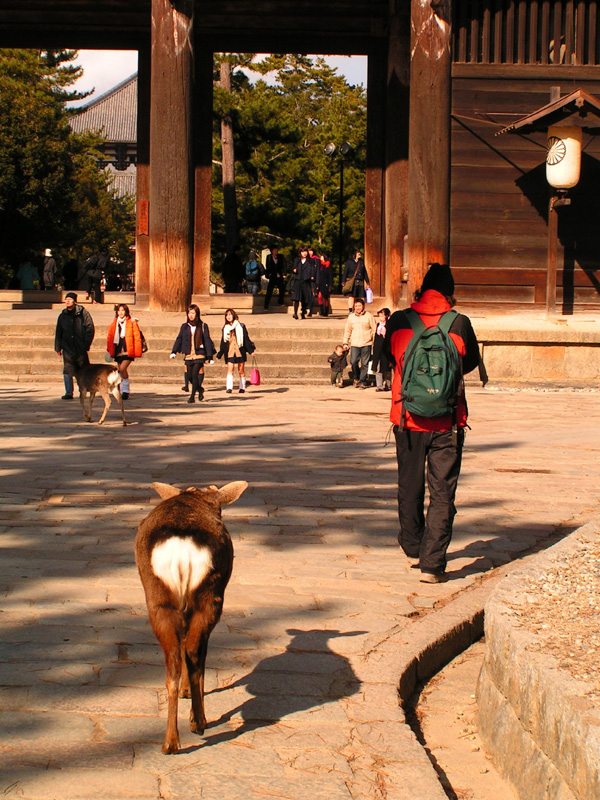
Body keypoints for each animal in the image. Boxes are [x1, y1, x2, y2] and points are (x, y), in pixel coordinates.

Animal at [135, 482, 247, 756]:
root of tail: (181, 552)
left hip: (159, 597)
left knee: (175, 658)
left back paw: (173, 740)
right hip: (209, 596)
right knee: (194, 651)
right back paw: (196, 724)